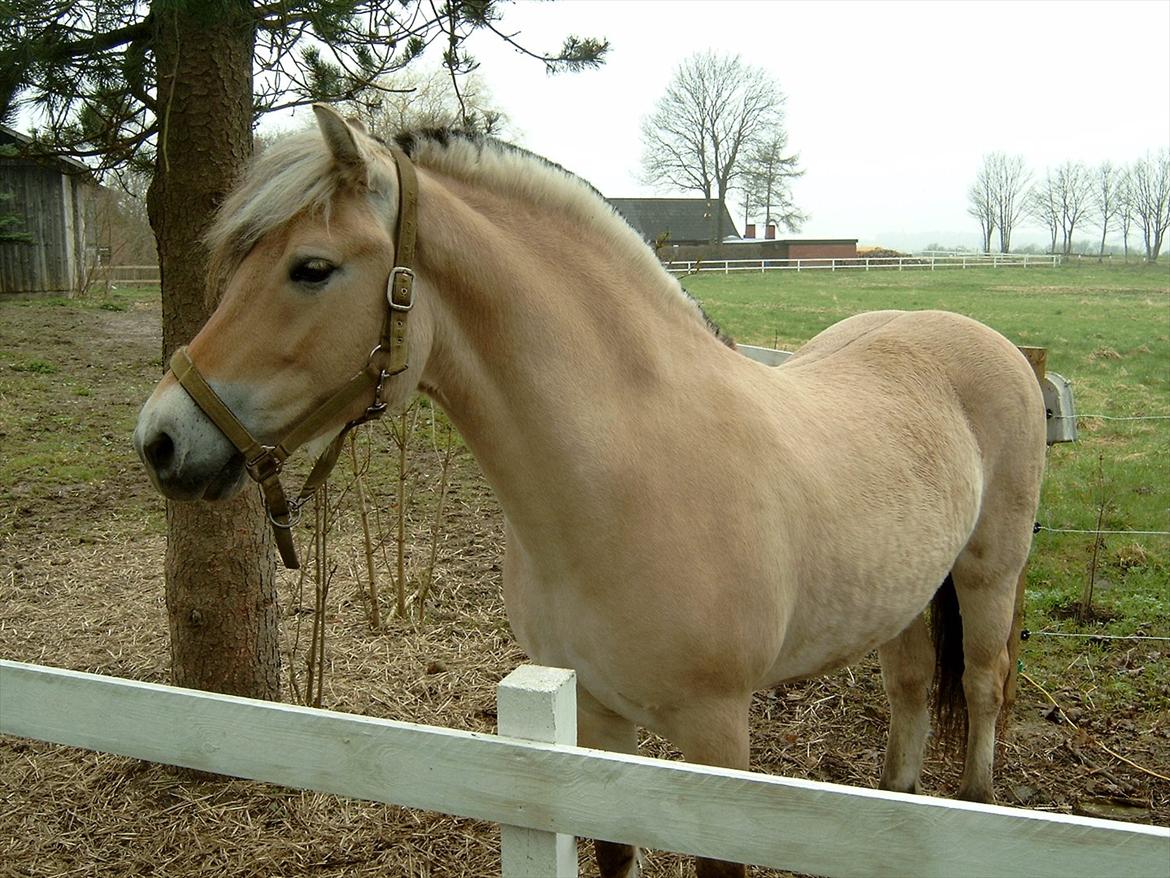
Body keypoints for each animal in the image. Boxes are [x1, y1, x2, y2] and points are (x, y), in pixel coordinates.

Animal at [132, 104, 1048, 878]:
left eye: (311, 268)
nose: (161, 440)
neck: (627, 476)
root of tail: (989, 342)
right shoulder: (599, 720)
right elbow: (612, 854)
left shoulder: (718, 734)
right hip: (905, 594)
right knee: (911, 692)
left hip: (988, 574)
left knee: (979, 686)